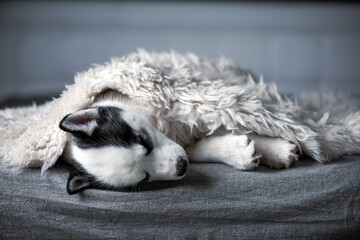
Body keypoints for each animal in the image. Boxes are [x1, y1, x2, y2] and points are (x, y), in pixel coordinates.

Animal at [59, 91, 296, 194]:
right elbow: (200, 149)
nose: (181, 166)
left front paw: (275, 148)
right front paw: (238, 152)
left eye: (142, 139)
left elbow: (230, 123)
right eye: (144, 178)